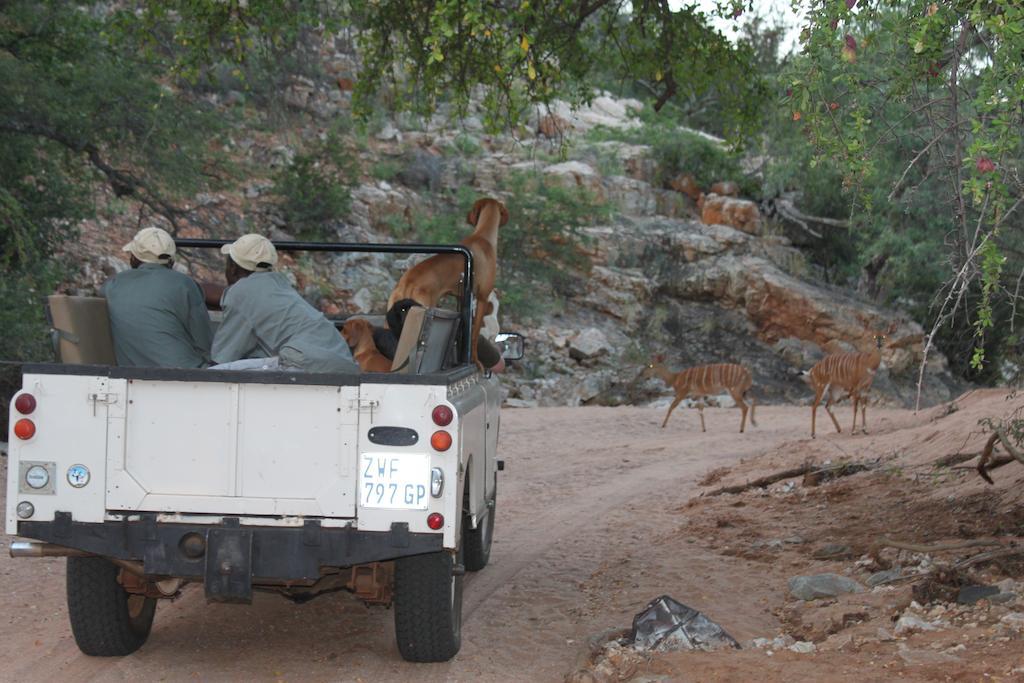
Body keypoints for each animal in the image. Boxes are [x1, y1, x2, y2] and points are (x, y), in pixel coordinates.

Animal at [385, 197, 509, 368]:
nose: (466, 216)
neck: (483, 237)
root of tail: (407, 282)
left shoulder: (463, 298)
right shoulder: (483, 298)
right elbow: (474, 335)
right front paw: (476, 361)